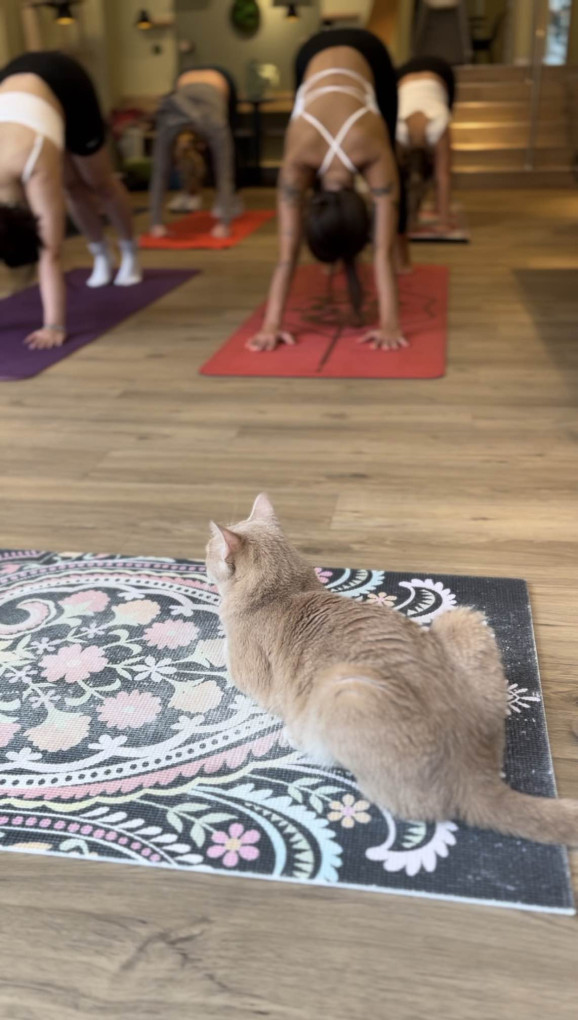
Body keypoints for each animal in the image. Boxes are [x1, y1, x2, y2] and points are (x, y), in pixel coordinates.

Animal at [206, 494, 578, 846]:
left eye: (209, 548)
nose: (203, 548)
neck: (287, 591)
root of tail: (475, 773)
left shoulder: (247, 673)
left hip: (341, 689)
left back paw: (298, 738)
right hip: (461, 619)